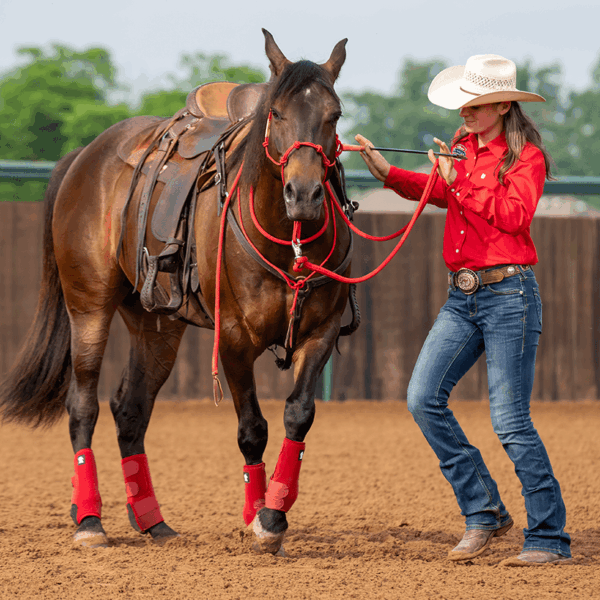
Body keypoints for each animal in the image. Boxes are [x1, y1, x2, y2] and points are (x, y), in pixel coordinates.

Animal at [0, 30, 355, 555]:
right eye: (276, 112)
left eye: (335, 114)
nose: (305, 194)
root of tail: (84, 155)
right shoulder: (233, 340)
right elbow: (252, 429)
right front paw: (259, 519)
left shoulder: (321, 334)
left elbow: (298, 414)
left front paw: (272, 513)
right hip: (88, 306)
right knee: (83, 405)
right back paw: (89, 521)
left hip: (156, 324)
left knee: (131, 411)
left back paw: (152, 520)